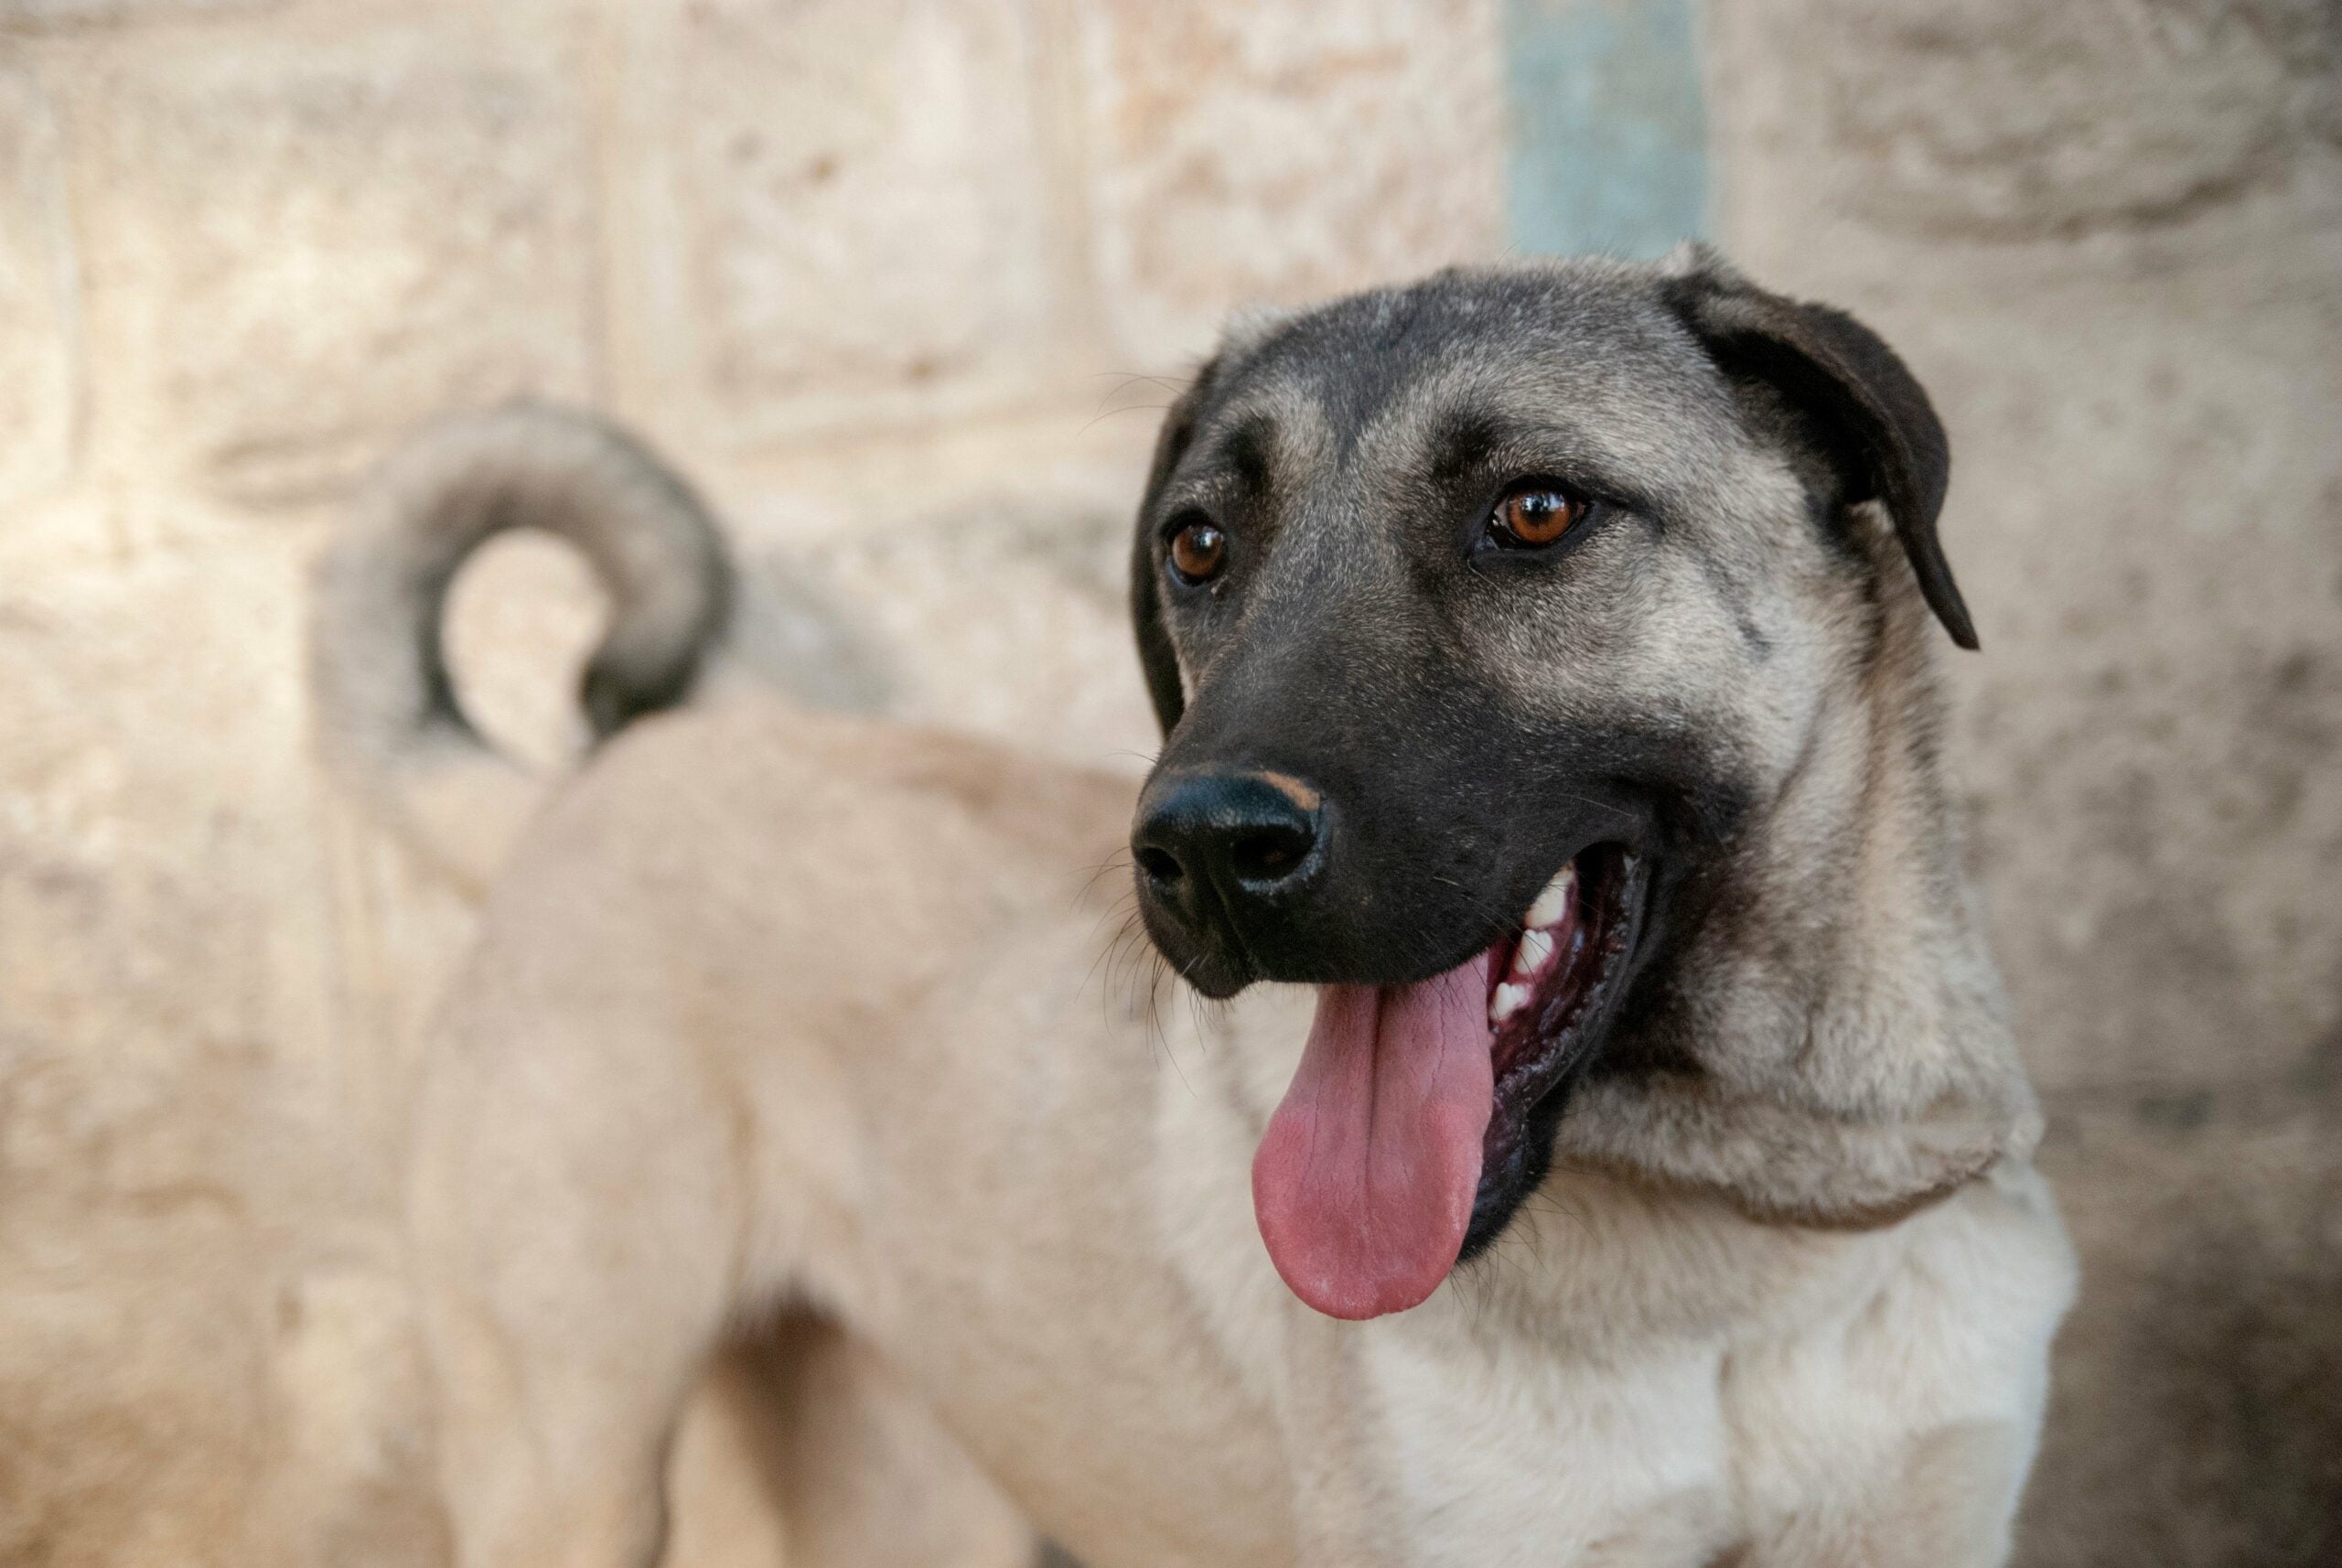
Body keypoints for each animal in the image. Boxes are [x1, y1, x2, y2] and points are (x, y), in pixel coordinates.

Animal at [306, 252, 2070, 1563]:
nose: (1207, 846)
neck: (1742, 1219)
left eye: (1537, 512)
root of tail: (576, 791)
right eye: (1200, 544)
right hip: (565, 1466)